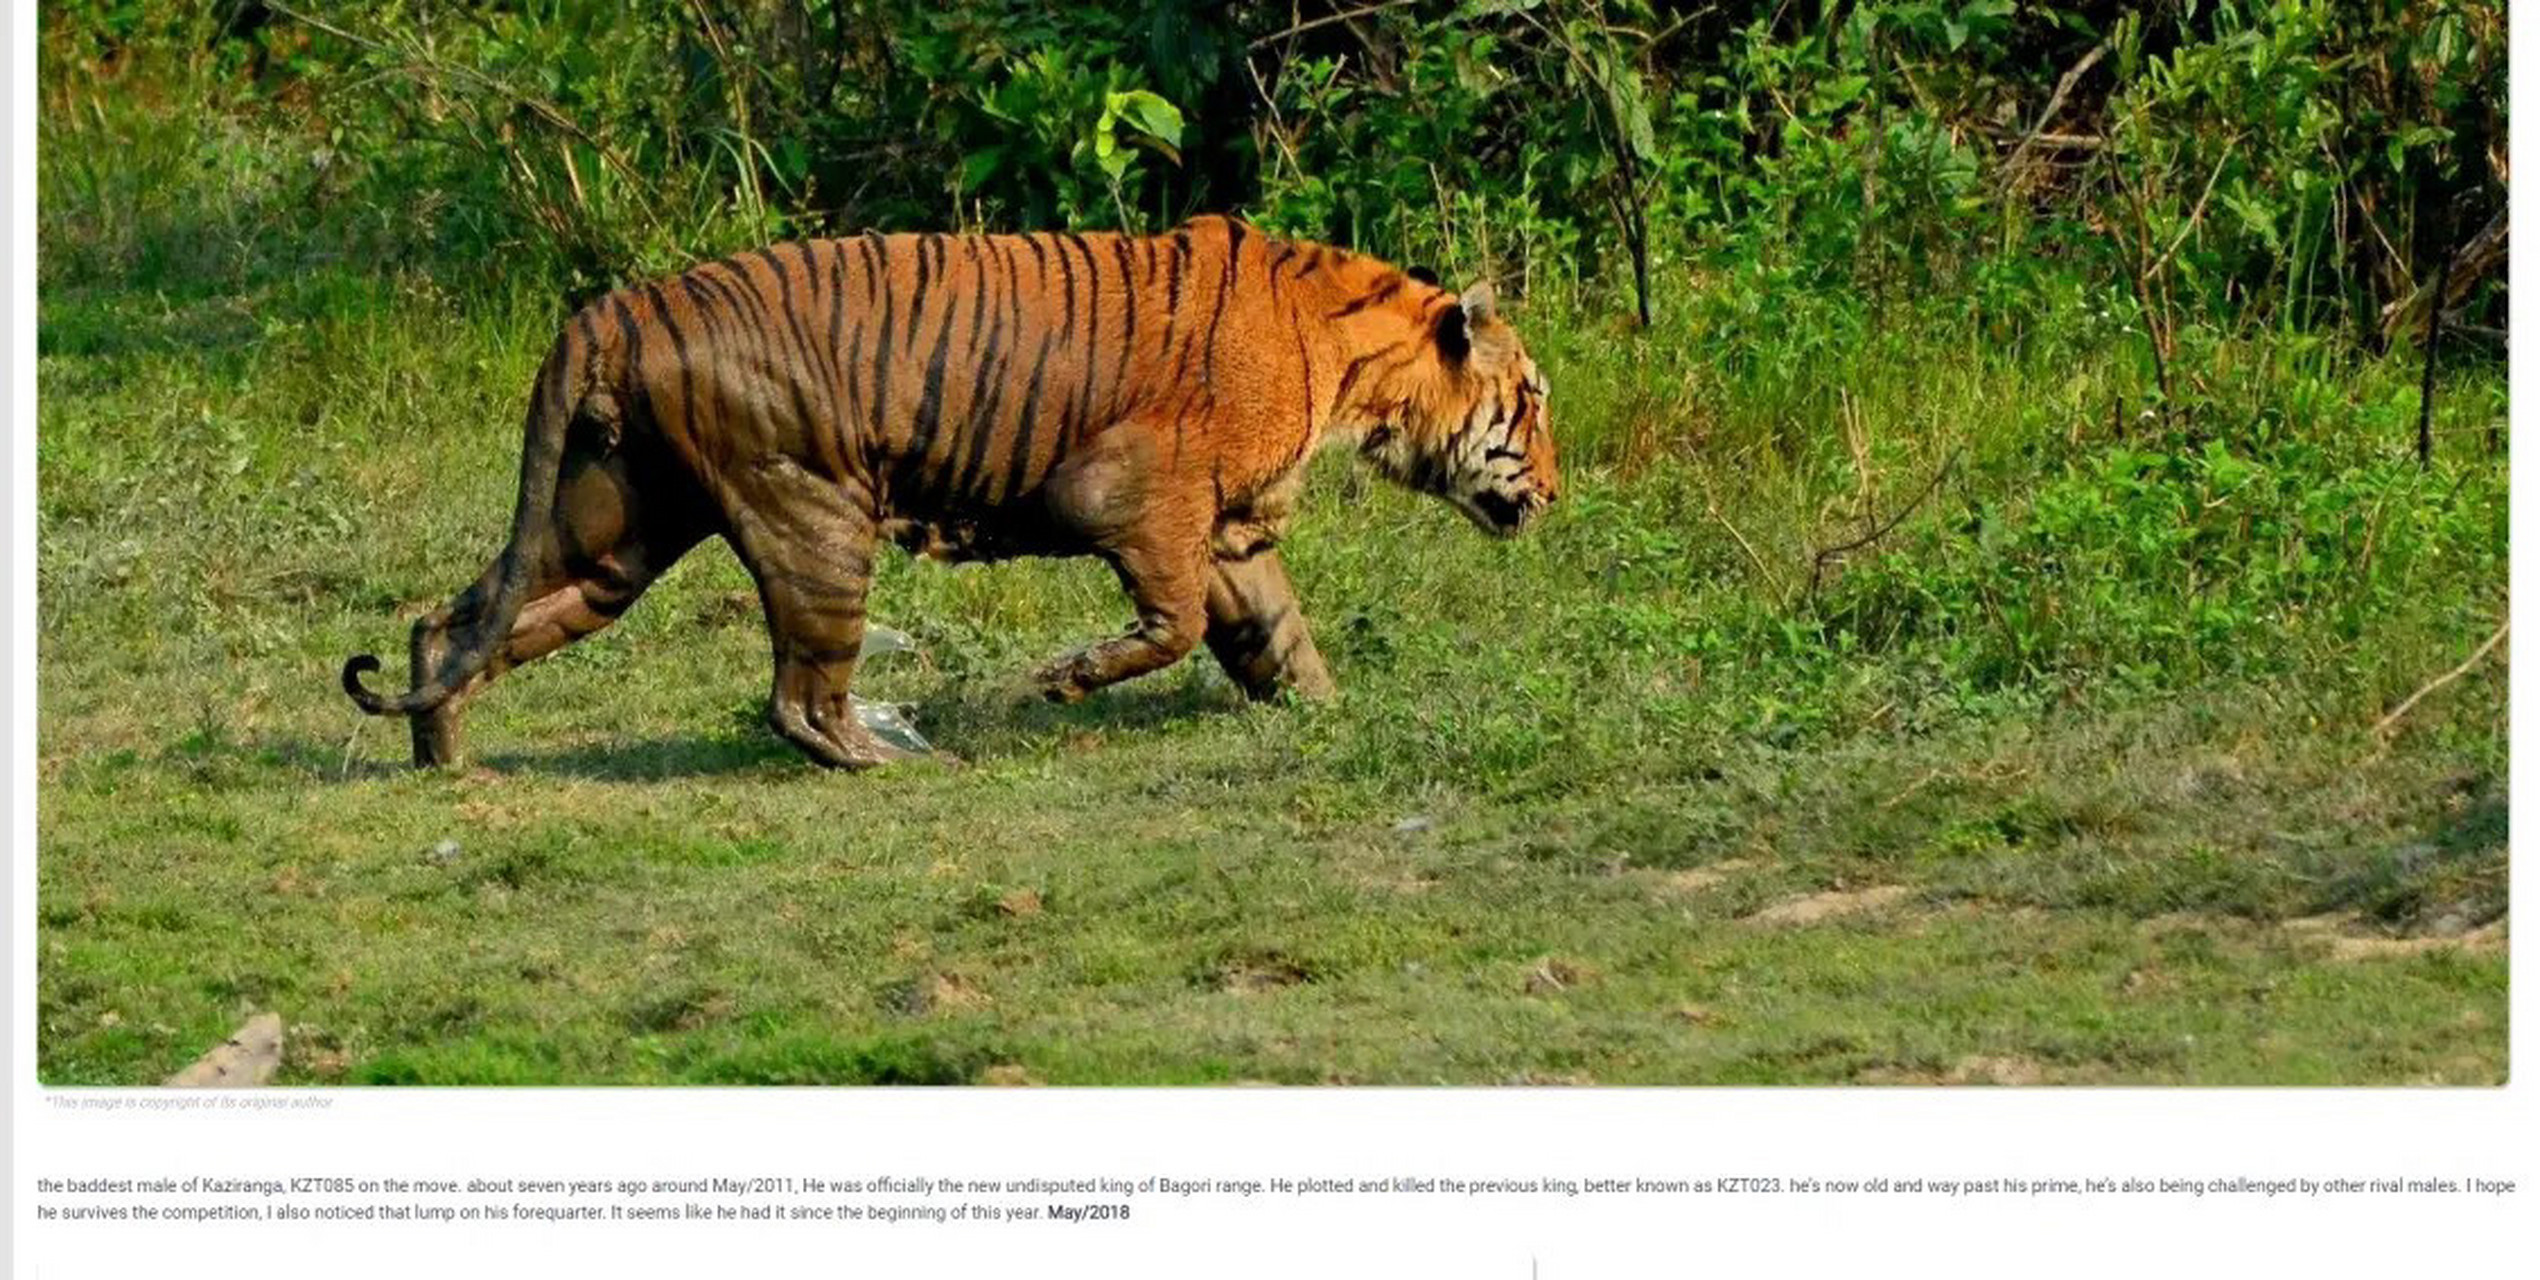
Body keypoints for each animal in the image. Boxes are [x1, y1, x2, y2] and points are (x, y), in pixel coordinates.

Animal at [345, 215, 1554, 772]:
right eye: (1534, 403)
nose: (1551, 490)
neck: (1361, 368)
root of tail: (616, 307)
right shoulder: (1134, 495)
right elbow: (1171, 624)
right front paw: (1066, 679)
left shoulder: (1231, 531)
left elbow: (1276, 632)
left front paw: (1324, 709)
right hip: (815, 518)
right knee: (800, 695)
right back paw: (890, 760)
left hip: (610, 533)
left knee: (455, 620)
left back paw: (443, 752)